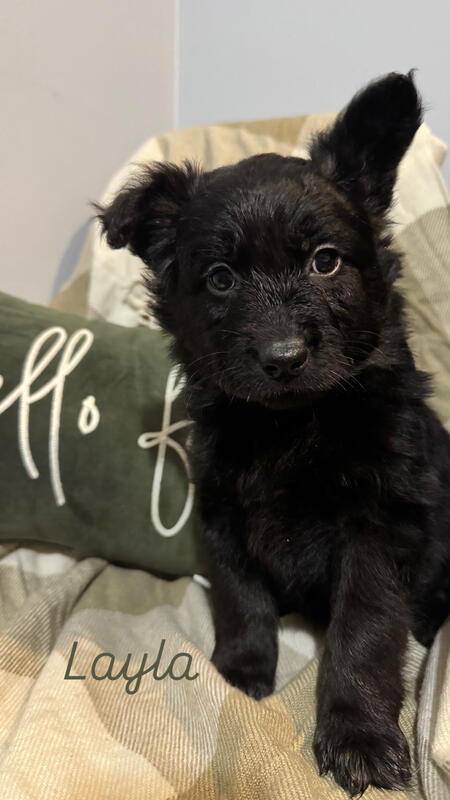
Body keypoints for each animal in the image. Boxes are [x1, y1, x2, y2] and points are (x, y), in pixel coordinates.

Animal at [97, 72, 450, 796]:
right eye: (221, 278)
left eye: (325, 262)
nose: (283, 357)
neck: (292, 422)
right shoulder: (222, 509)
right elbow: (240, 594)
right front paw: (241, 675)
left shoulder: (378, 525)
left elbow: (363, 630)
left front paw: (357, 739)